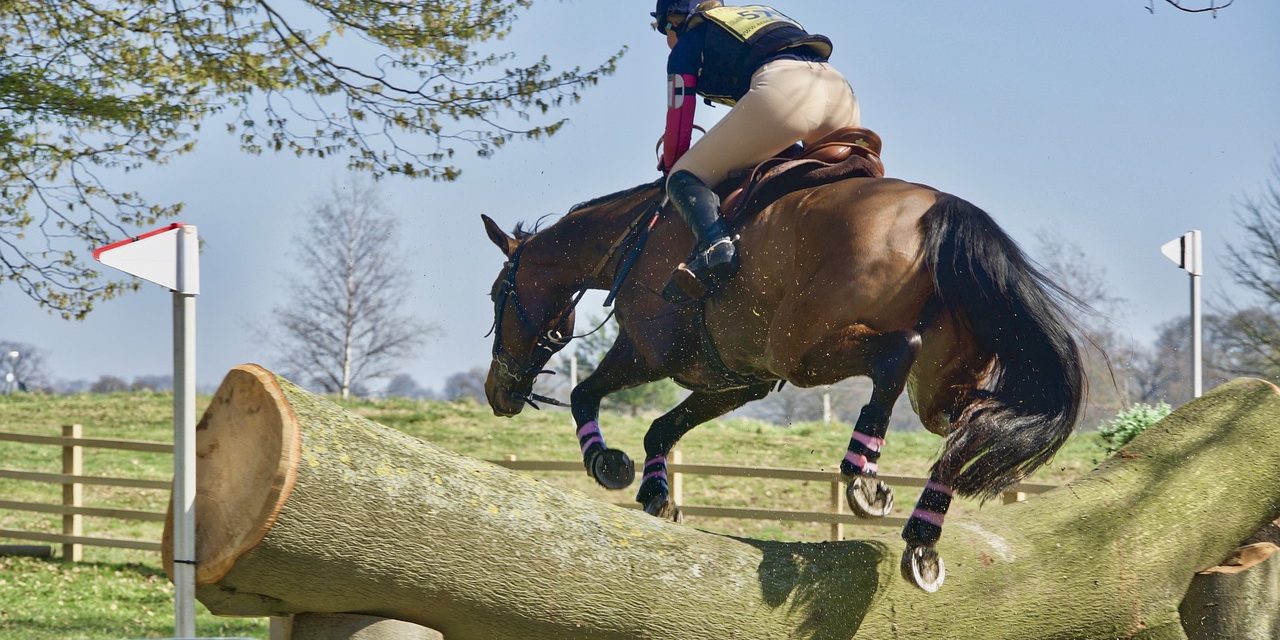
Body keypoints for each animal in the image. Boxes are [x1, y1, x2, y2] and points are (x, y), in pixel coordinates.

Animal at [481, 174, 1080, 588]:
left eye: (494, 295)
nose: (496, 392)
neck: (632, 242)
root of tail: (942, 209)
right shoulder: (737, 380)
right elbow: (660, 428)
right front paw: (655, 494)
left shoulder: (646, 352)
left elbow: (585, 392)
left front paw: (606, 463)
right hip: (937, 388)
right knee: (970, 426)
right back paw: (922, 540)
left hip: (803, 350)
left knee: (896, 356)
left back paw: (863, 475)